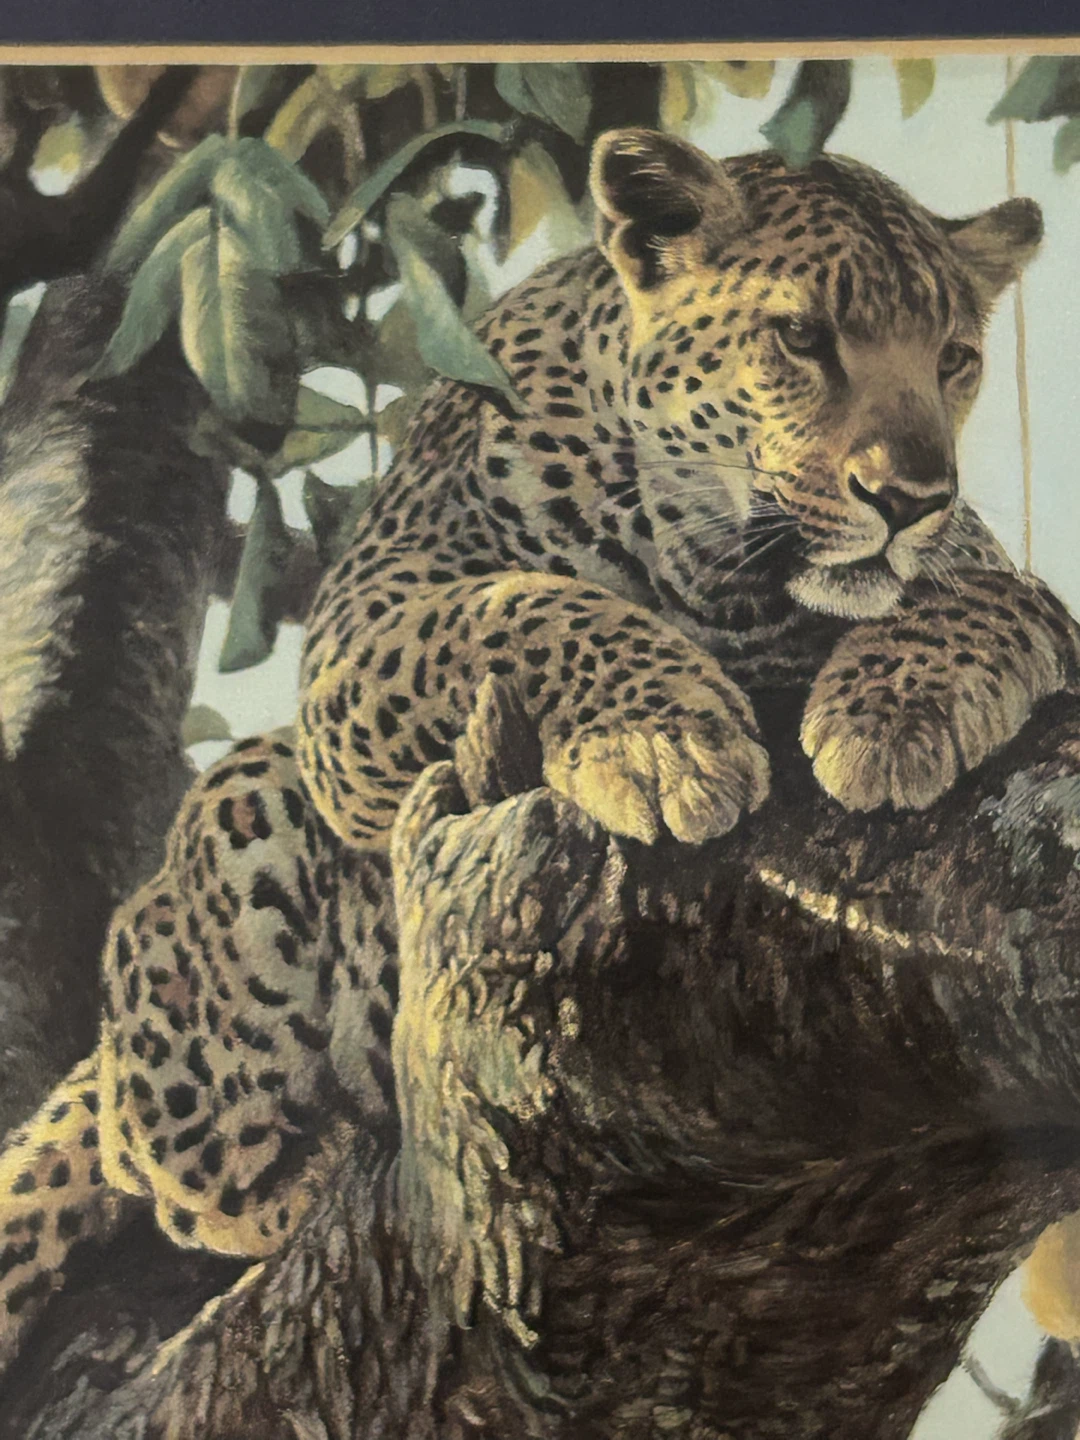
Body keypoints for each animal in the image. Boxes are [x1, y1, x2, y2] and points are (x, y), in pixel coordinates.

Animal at [0, 126, 1076, 1374]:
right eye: (803, 337)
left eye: (955, 360)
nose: (911, 495)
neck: (720, 573)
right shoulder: (364, 627)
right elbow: (519, 606)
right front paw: (665, 737)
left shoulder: (992, 583)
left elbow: (993, 598)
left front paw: (889, 716)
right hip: (239, 834)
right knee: (158, 1148)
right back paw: (293, 1163)